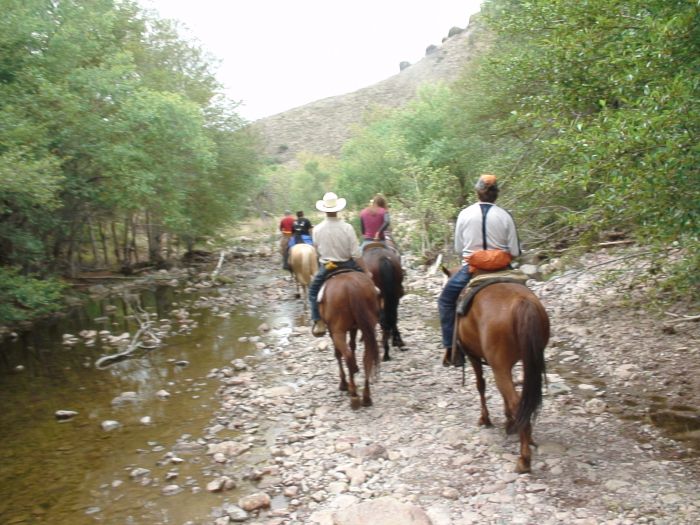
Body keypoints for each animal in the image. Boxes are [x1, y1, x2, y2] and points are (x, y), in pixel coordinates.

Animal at [318, 268, 380, 408]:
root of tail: (351, 286)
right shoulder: (354, 328)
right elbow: (352, 345)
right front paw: (356, 368)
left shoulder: (332, 331)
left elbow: (338, 353)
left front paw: (343, 384)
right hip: (369, 326)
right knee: (367, 356)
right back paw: (366, 397)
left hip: (338, 331)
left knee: (347, 356)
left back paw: (353, 394)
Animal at [446, 270, 548, 470]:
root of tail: (521, 302)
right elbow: (502, 393)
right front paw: (508, 421)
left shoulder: (474, 356)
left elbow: (481, 385)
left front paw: (485, 419)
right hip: (528, 361)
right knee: (525, 398)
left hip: (499, 366)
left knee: (516, 401)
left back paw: (524, 459)